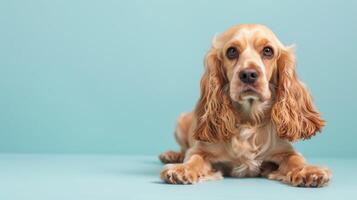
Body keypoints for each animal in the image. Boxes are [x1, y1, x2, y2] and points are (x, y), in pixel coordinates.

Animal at [159, 24, 330, 187]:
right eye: (231, 51)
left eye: (268, 51)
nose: (248, 74)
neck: (249, 118)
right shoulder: (201, 149)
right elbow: (194, 158)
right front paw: (183, 169)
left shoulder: (285, 151)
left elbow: (296, 159)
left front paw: (308, 171)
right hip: (180, 121)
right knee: (183, 149)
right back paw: (172, 155)